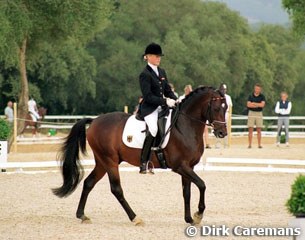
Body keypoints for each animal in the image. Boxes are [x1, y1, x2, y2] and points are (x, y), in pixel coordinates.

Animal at [52, 86, 226, 225]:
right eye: (217, 108)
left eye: (226, 109)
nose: (222, 133)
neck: (184, 126)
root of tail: (94, 121)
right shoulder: (180, 166)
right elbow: (202, 184)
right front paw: (198, 214)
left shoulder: (189, 166)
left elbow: (187, 192)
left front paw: (189, 219)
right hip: (110, 161)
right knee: (116, 189)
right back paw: (135, 218)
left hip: (102, 162)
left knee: (89, 183)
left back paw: (82, 215)